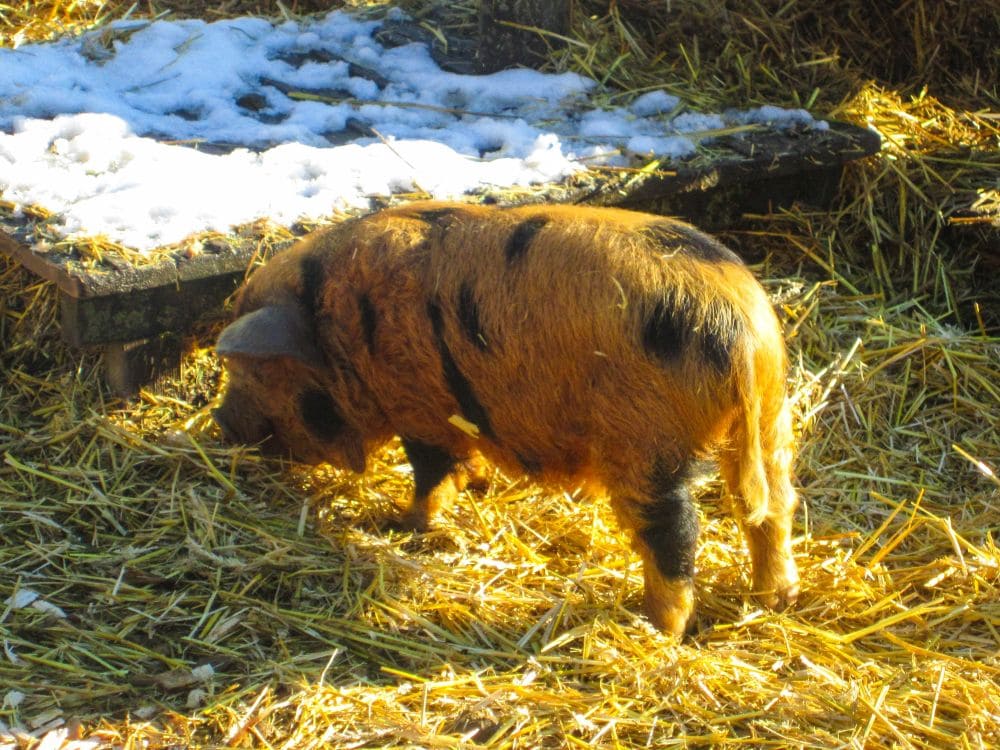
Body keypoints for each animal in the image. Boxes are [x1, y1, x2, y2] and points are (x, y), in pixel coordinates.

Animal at [213, 201, 800, 636]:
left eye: (250, 371)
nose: (221, 422)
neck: (337, 329)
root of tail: (741, 328)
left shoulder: (422, 410)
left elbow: (432, 473)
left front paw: (399, 525)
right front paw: (477, 486)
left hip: (647, 444)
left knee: (674, 530)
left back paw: (654, 626)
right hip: (771, 421)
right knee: (772, 507)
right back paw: (773, 598)